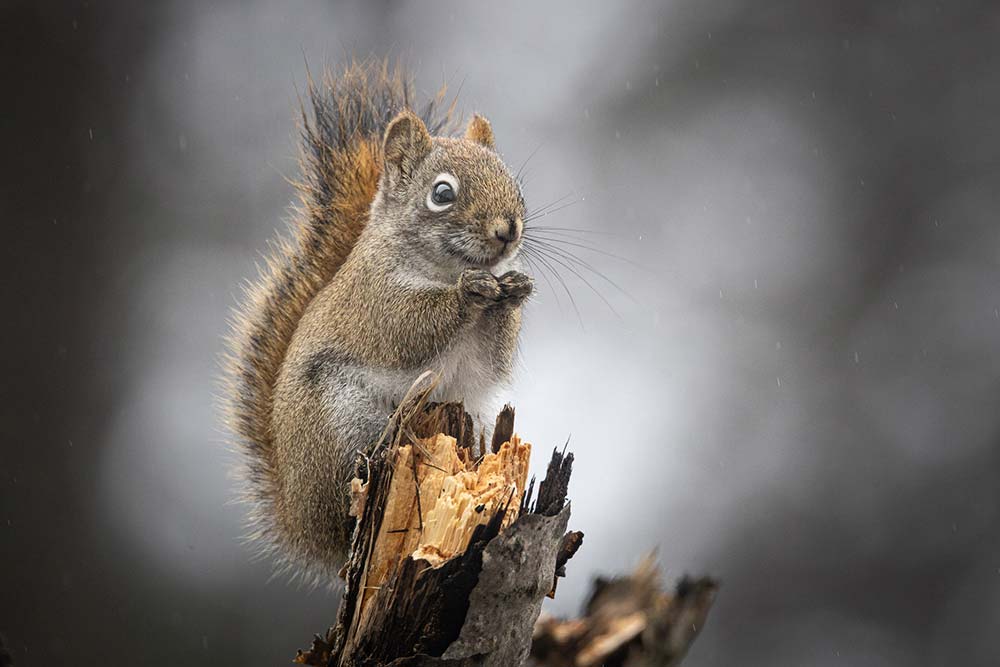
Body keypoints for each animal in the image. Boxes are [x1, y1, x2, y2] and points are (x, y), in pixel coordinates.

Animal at [223, 61, 532, 583]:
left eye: (515, 184)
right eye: (442, 193)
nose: (507, 229)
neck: (441, 269)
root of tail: (307, 529)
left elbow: (494, 359)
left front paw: (515, 289)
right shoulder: (374, 301)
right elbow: (408, 330)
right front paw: (469, 292)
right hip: (342, 421)